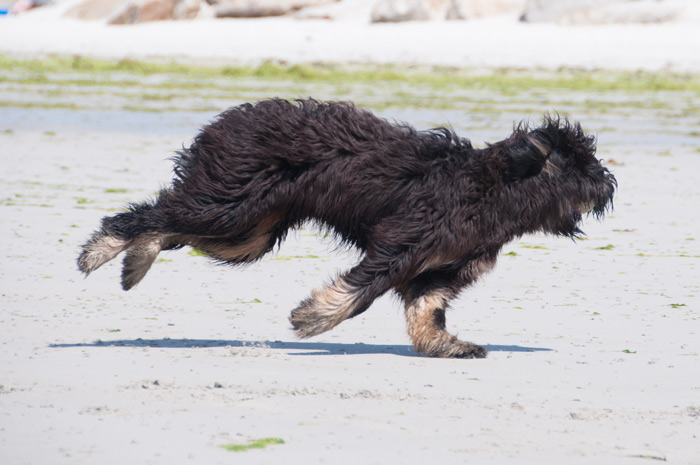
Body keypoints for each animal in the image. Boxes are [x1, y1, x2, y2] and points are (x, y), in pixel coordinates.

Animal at [79, 98, 616, 358]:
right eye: (581, 164)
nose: (610, 184)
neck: (494, 188)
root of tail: (227, 121)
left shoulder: (442, 268)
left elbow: (427, 309)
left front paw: (446, 346)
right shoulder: (401, 243)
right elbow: (361, 292)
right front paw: (312, 318)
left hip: (249, 230)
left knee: (168, 227)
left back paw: (135, 261)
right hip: (230, 205)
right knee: (148, 216)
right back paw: (101, 251)